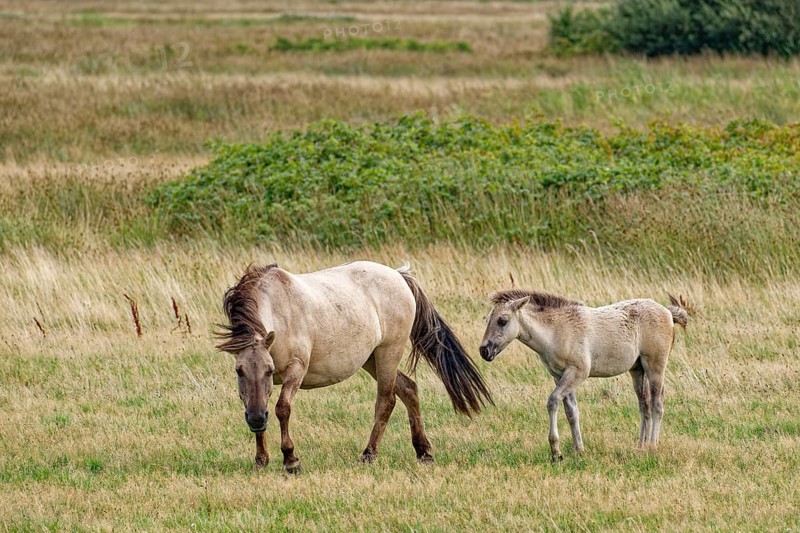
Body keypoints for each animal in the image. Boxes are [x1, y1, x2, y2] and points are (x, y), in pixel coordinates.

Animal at [217, 261, 492, 472]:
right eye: (239, 371)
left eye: (269, 370)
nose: (254, 420)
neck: (279, 308)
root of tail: (398, 275)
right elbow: (261, 405)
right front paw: (260, 460)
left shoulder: (296, 370)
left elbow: (282, 409)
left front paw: (290, 460)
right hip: (371, 359)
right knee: (409, 389)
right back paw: (423, 452)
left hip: (388, 353)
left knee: (386, 401)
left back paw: (369, 454)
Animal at [479, 290, 688, 461]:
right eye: (487, 320)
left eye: (503, 320)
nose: (484, 351)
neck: (557, 330)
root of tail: (668, 313)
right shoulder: (559, 375)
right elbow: (572, 412)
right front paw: (579, 449)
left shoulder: (577, 372)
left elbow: (553, 401)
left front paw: (556, 452)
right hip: (637, 370)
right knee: (644, 405)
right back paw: (640, 447)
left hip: (655, 367)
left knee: (657, 404)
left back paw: (652, 446)